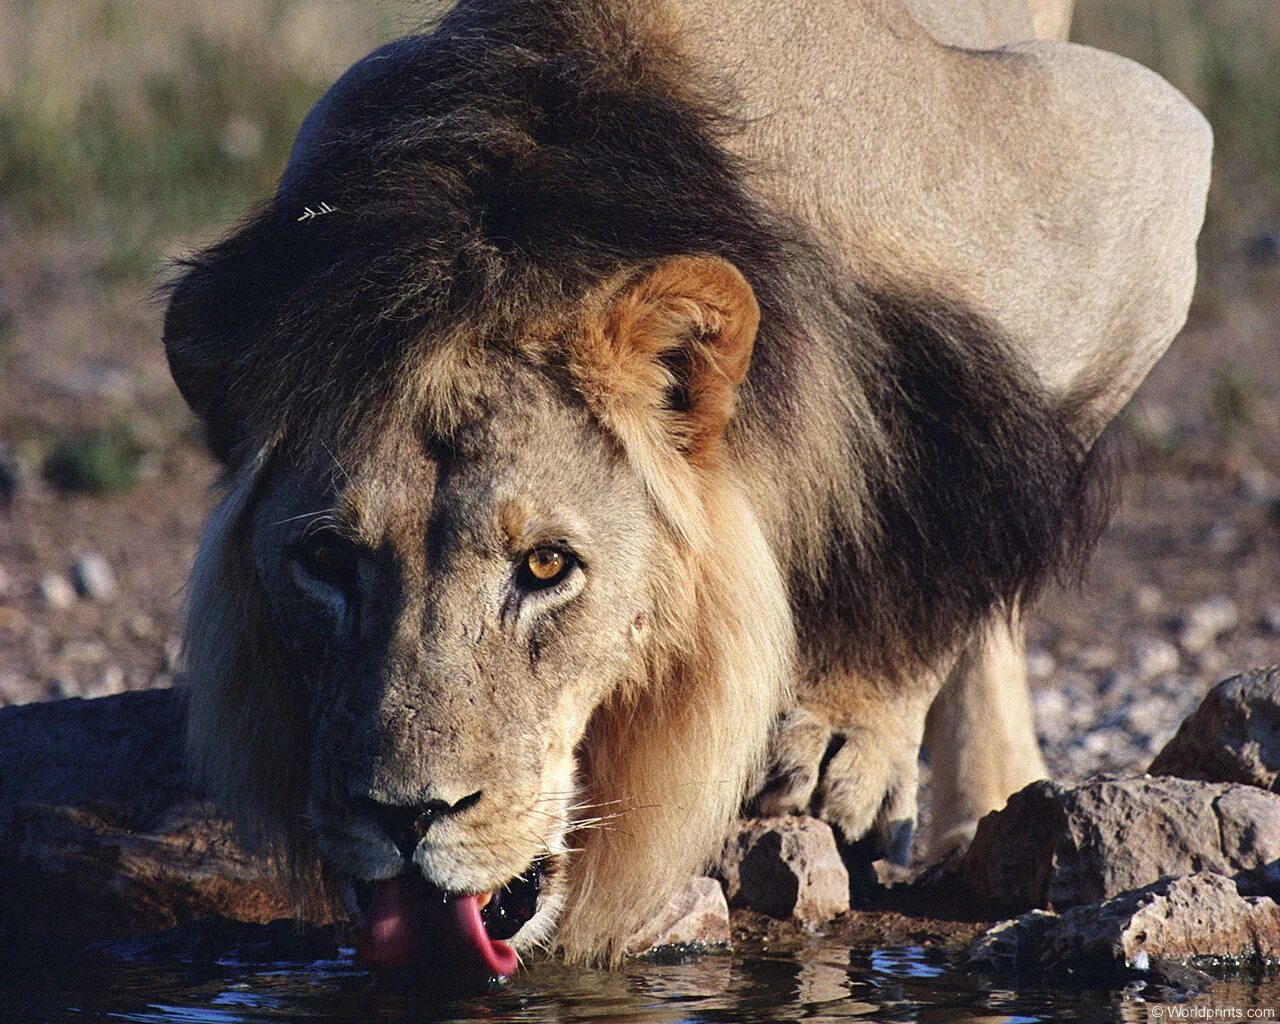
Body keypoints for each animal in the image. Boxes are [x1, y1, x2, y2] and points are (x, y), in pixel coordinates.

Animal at [162, 0, 1208, 977]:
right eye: (326, 561)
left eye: (547, 566)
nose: (405, 816)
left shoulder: (1140, 154)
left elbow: (959, 529)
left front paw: (843, 733)